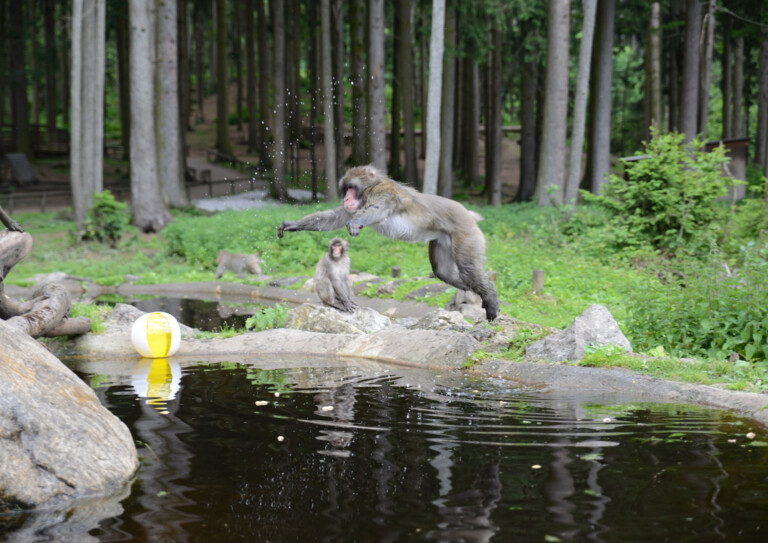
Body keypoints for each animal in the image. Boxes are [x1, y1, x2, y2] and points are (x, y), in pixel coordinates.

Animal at [278, 165, 499, 321]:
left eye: (352, 188)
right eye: (346, 189)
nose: (347, 198)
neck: (370, 188)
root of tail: (468, 214)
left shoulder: (384, 193)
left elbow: (377, 210)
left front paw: (356, 222)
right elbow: (334, 218)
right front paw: (292, 224)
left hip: (466, 233)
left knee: (467, 266)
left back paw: (488, 295)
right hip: (443, 237)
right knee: (442, 270)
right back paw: (470, 288)